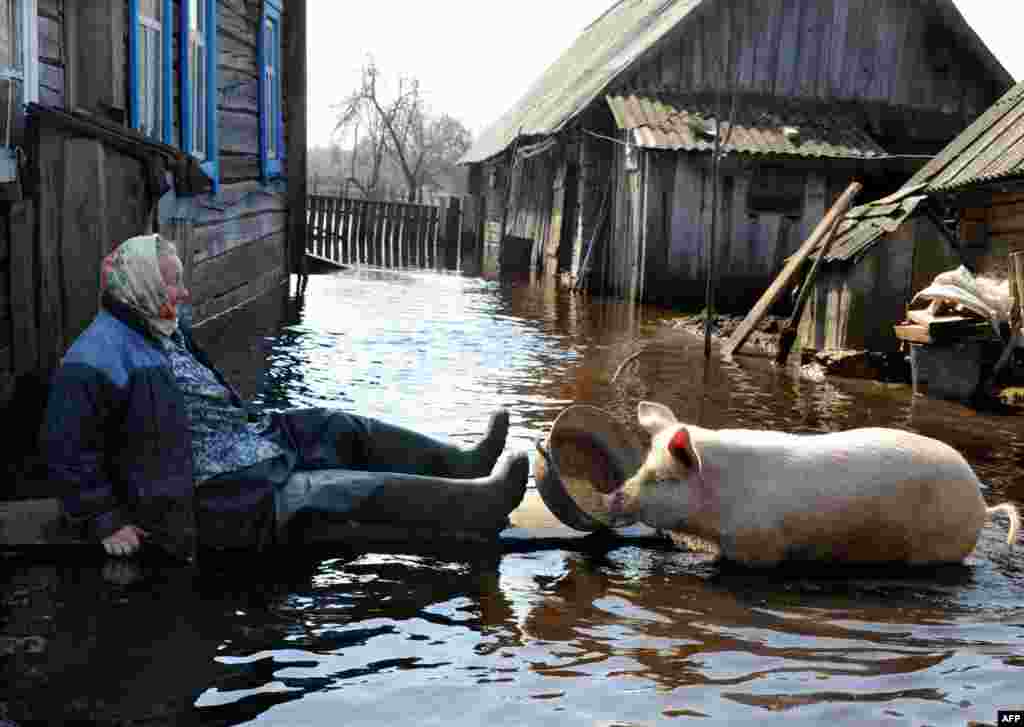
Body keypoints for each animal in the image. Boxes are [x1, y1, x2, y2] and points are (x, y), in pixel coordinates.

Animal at [602, 403, 1019, 569]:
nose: (610, 498)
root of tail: (983, 505)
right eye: (642, 466)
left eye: (661, 478)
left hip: (940, 547)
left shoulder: (759, 546)